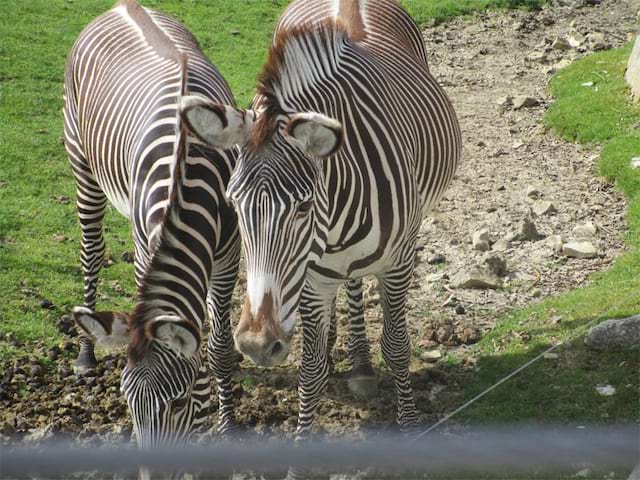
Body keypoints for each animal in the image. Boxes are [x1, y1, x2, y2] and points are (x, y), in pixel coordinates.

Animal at [62, 0, 248, 450]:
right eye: (127, 401)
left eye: (178, 403)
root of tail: (123, 6)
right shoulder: (145, 249)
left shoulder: (228, 256)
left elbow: (217, 347)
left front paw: (226, 424)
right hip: (82, 165)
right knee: (91, 252)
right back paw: (86, 354)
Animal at [182, 0, 462, 436]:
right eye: (234, 204)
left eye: (302, 207)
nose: (257, 345)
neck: (335, 225)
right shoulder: (312, 277)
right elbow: (309, 370)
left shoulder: (400, 261)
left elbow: (397, 346)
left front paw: (410, 423)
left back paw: (361, 366)